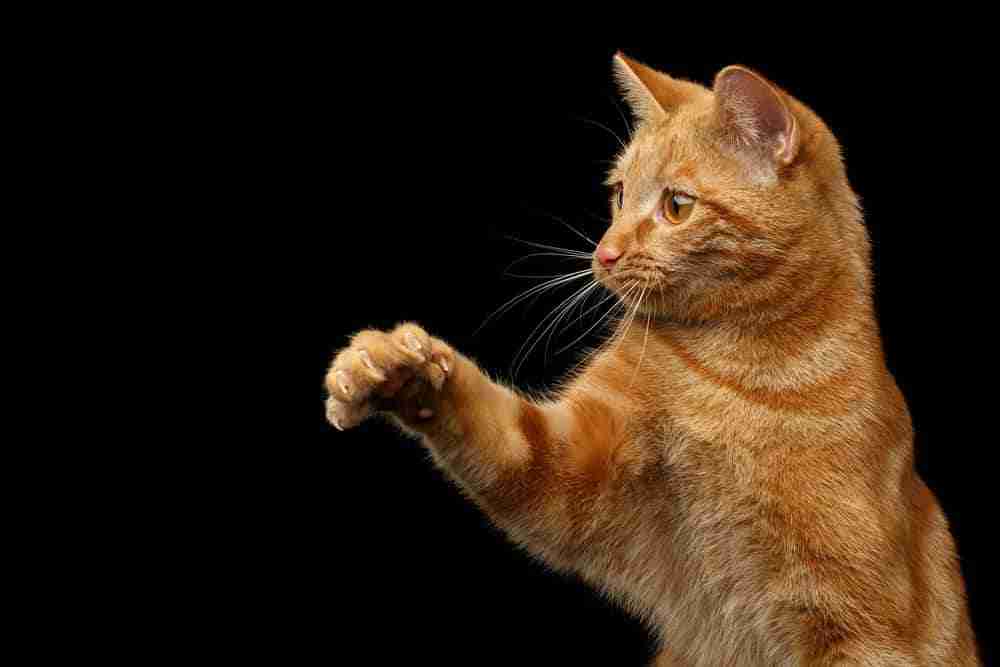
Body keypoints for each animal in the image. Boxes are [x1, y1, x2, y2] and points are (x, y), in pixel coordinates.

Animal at [326, 53, 976, 667]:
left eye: (677, 205)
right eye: (618, 194)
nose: (604, 253)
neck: (740, 372)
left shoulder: (863, 625)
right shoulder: (570, 467)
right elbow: (495, 433)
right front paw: (394, 368)